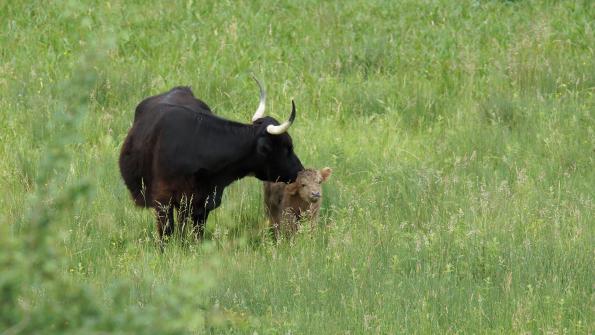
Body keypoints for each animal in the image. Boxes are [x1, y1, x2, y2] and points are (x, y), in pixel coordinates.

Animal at [117, 78, 302, 242]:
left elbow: (195, 235)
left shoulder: (203, 204)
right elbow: (167, 235)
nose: (300, 170)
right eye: (287, 146)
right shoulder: (163, 201)